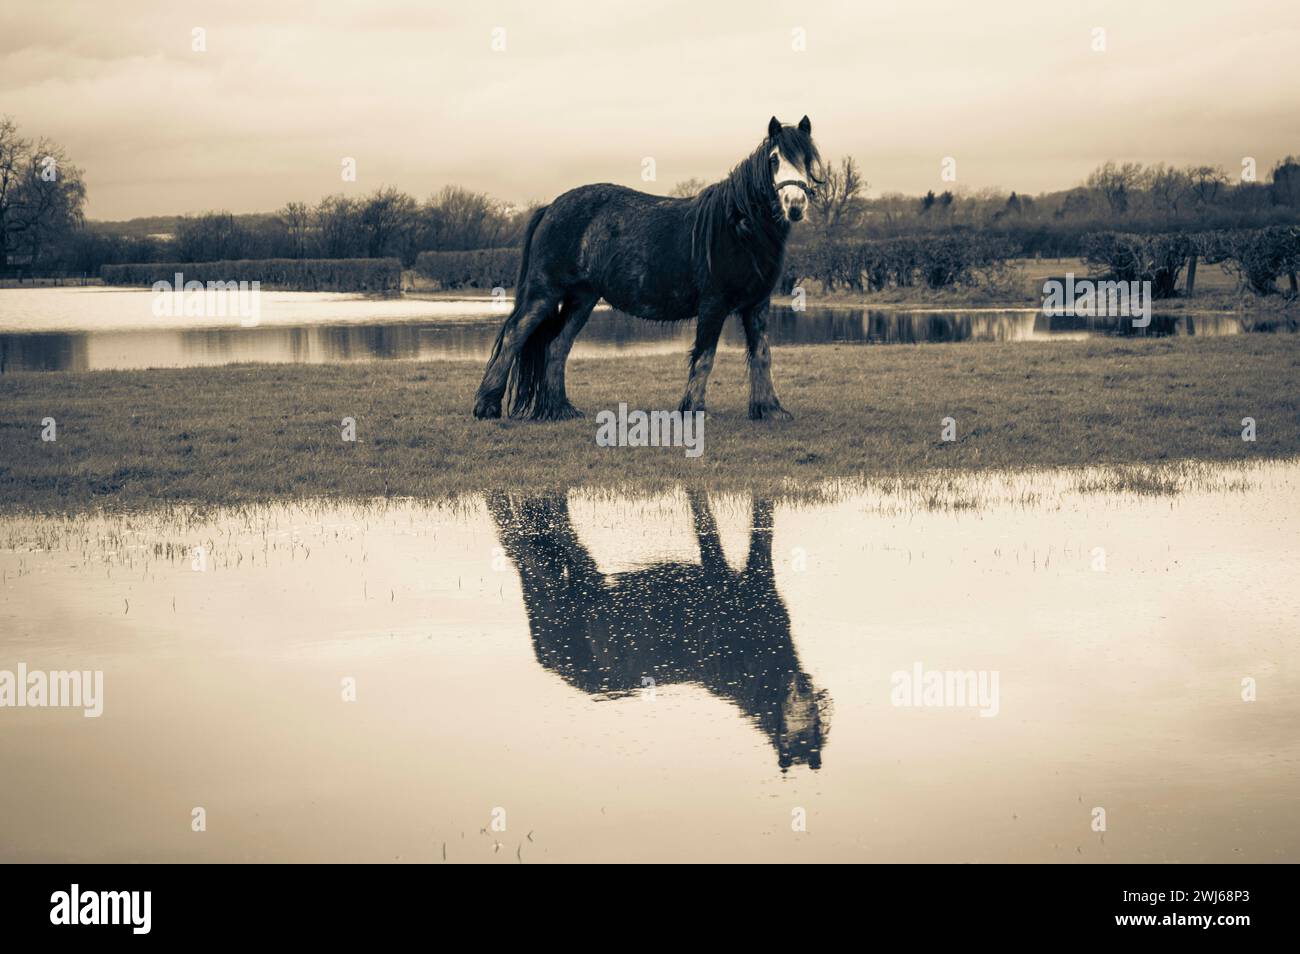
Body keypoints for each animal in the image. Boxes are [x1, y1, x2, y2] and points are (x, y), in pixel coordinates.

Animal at [473, 116, 824, 421]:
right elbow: (705, 357)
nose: (795, 205)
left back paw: (560, 409)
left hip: (582, 299)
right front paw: (693, 410)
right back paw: (487, 406)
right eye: (774, 159)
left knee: (557, 346)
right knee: (514, 336)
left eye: (807, 159)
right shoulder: (713, 305)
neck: (737, 227)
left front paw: (770, 410)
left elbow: (762, 355)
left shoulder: (757, 305)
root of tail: (550, 207)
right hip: (545, 293)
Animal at [485, 490, 831, 772]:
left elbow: (763, 523)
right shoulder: (717, 579)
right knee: (536, 539)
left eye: (812, 721)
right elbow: (707, 525)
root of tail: (546, 658)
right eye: (787, 725)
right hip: (578, 591)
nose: (802, 687)